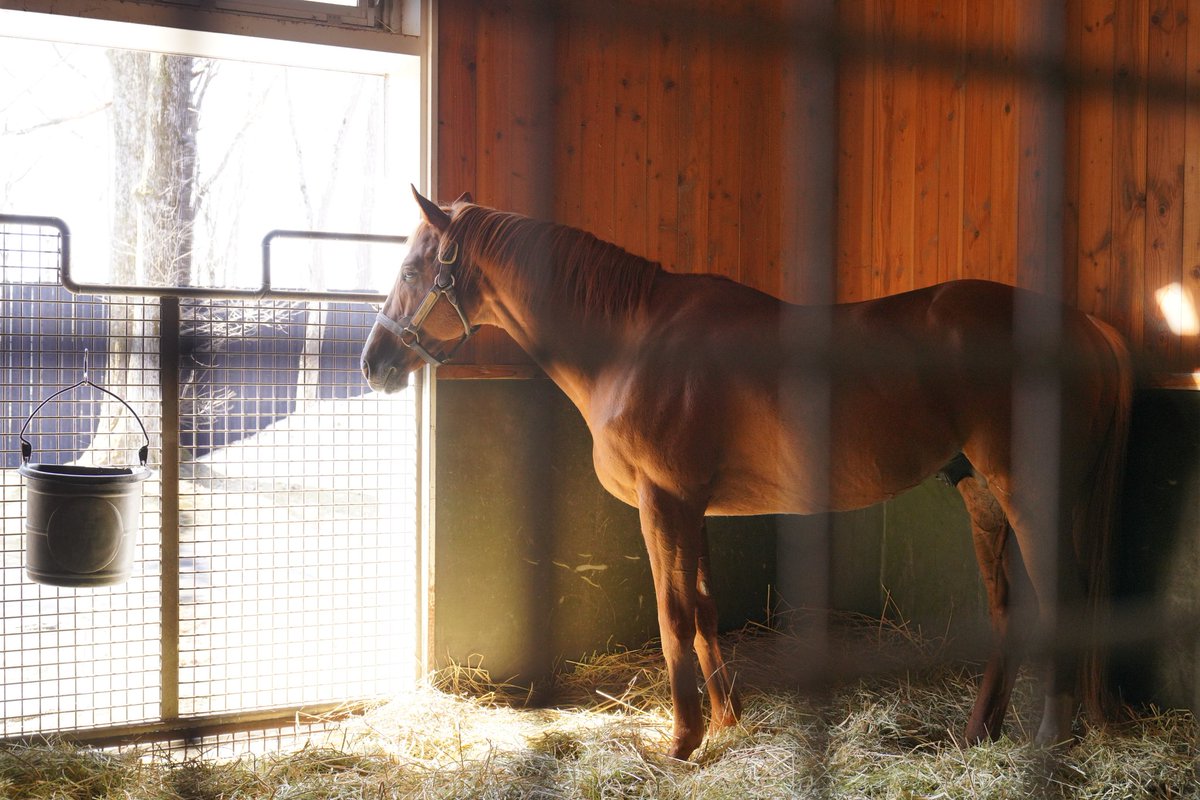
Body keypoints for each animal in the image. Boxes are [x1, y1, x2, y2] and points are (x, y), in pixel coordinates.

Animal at [360, 185, 1128, 758]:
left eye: (410, 271)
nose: (374, 363)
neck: (633, 341)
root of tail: (1089, 329)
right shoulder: (692, 507)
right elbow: (703, 608)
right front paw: (726, 720)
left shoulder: (663, 501)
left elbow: (673, 613)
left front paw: (681, 740)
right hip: (981, 494)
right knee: (1009, 610)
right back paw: (978, 734)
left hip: (1030, 496)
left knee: (1061, 602)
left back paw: (1048, 741)